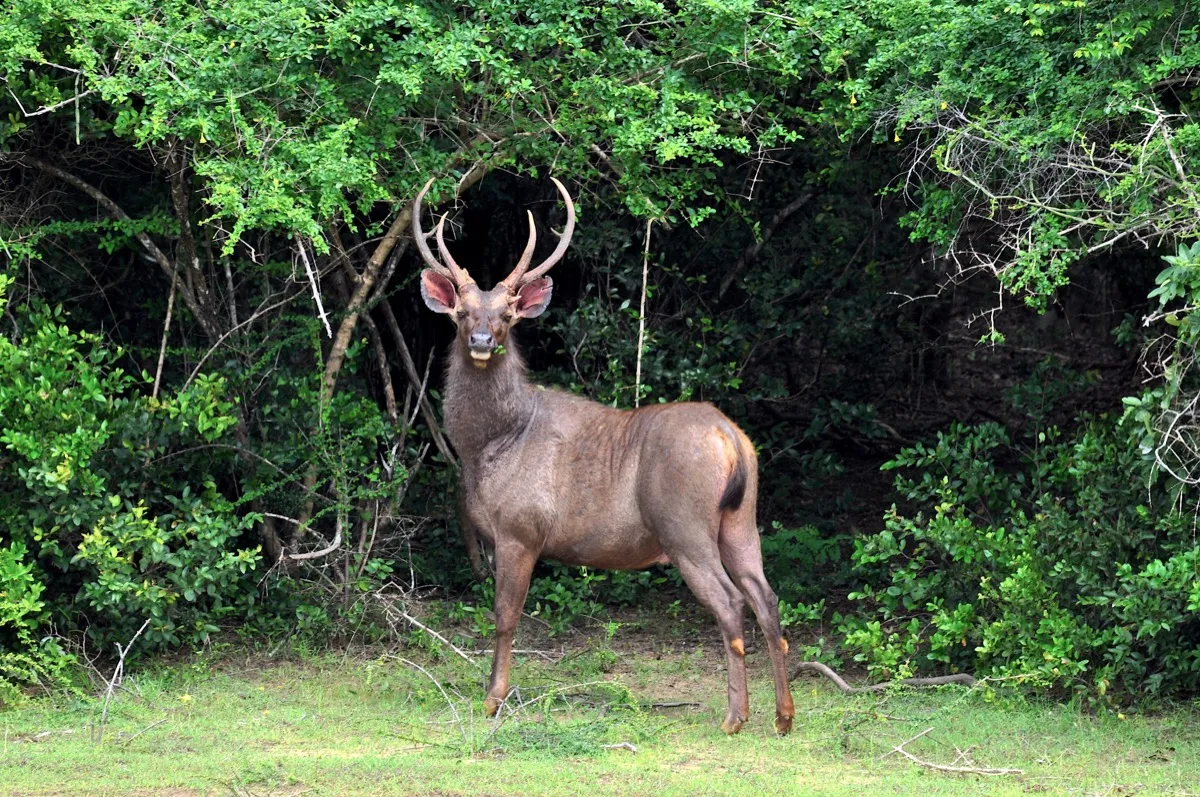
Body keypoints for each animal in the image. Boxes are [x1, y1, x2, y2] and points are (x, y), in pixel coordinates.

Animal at [413, 177, 795, 735]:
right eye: (462, 313)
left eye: (507, 315)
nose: (482, 340)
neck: (490, 445)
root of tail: (731, 439)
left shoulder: (520, 529)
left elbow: (505, 616)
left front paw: (493, 699)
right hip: (742, 520)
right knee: (767, 599)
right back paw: (784, 717)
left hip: (683, 523)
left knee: (730, 603)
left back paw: (734, 717)